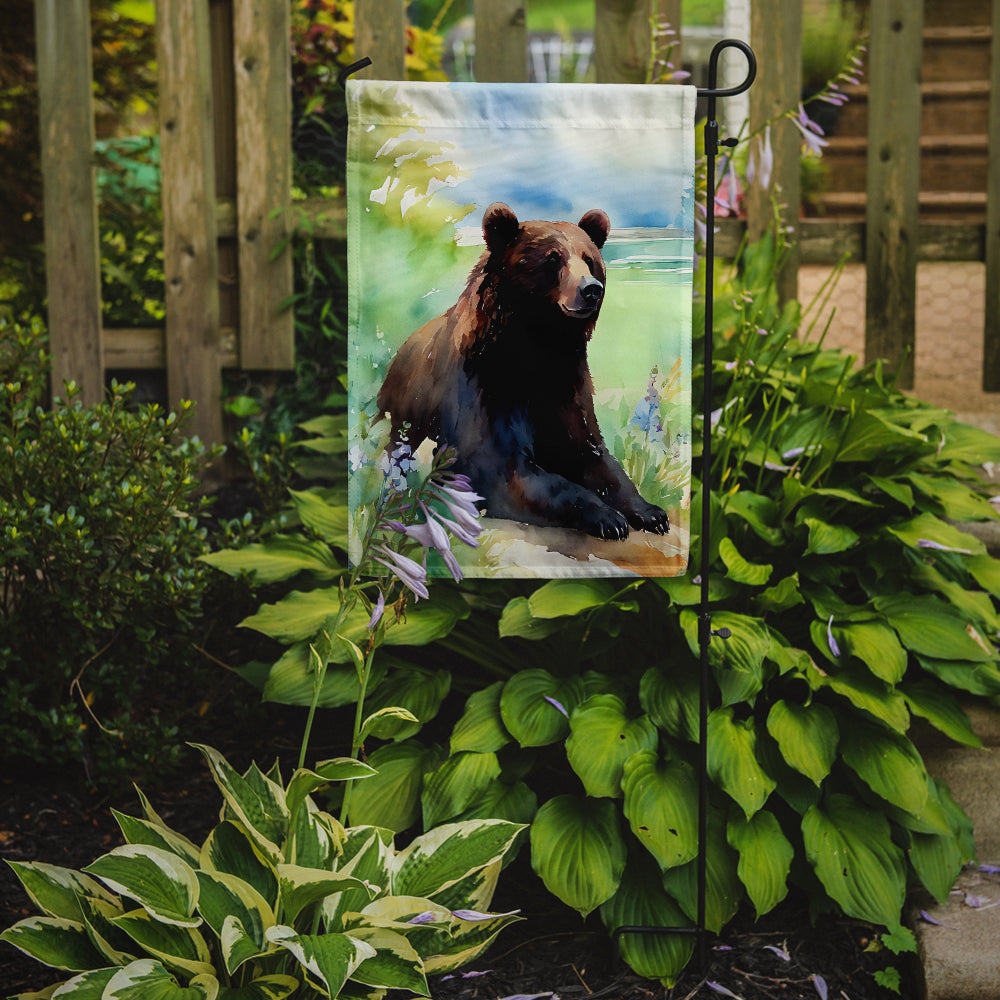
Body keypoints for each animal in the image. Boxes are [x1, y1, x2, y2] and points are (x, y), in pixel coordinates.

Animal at [376, 202, 669, 541]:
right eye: (553, 258)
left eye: (589, 259)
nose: (591, 290)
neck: (538, 346)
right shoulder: (488, 390)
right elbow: (509, 472)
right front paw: (608, 518)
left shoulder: (567, 389)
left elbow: (596, 456)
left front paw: (651, 512)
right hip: (406, 403)